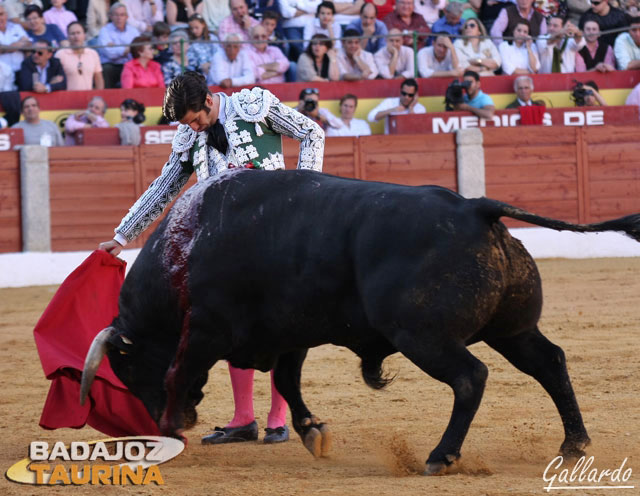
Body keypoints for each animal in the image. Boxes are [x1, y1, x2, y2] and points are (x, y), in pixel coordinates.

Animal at [81, 169, 640, 474]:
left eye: (128, 369)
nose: (153, 419)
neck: (187, 247)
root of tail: (475, 208)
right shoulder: (291, 334)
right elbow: (287, 380)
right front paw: (312, 432)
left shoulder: (206, 329)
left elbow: (180, 372)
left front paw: (173, 425)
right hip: (512, 329)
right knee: (550, 362)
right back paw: (573, 444)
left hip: (422, 336)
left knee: (470, 377)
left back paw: (441, 456)